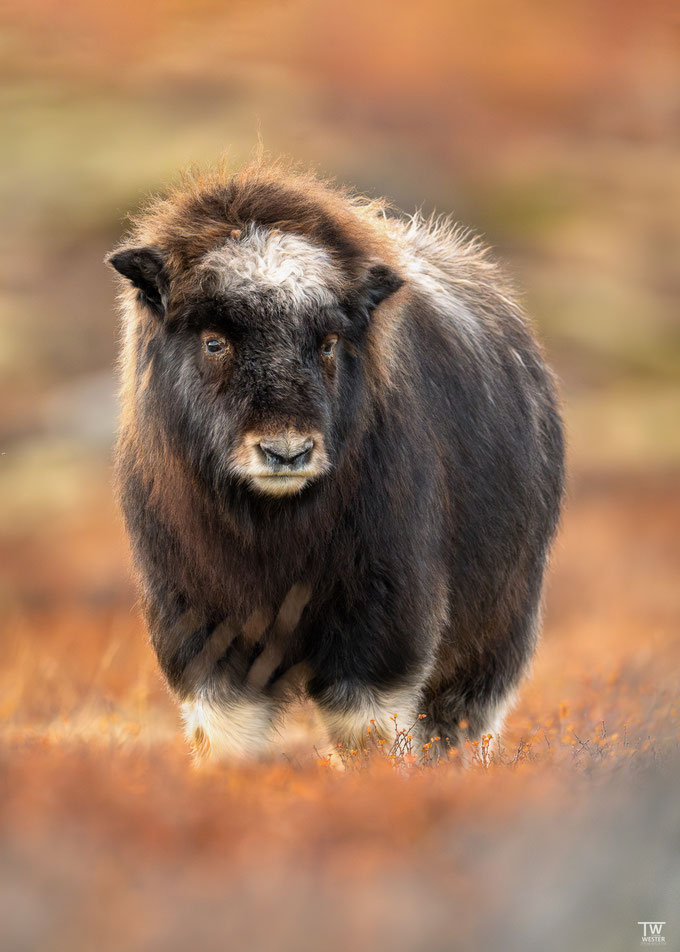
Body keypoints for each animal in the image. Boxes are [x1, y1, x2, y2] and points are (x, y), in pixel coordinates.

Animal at [105, 162, 564, 760]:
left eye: (326, 342)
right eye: (213, 341)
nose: (287, 452)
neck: (271, 527)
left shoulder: (379, 616)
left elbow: (367, 727)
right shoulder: (199, 620)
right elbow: (226, 731)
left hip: (496, 629)